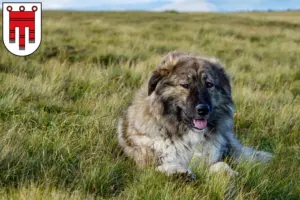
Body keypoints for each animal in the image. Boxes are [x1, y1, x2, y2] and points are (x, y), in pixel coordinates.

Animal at [118, 52, 274, 178]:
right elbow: (163, 166)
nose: (203, 110)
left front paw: (228, 173)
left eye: (209, 85)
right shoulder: (147, 161)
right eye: (185, 85)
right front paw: (178, 172)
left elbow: (220, 165)